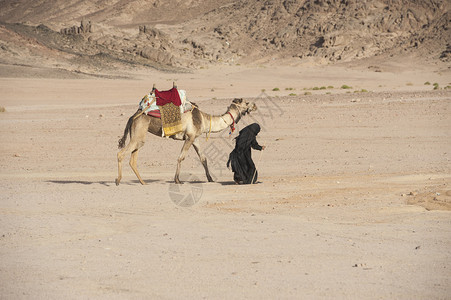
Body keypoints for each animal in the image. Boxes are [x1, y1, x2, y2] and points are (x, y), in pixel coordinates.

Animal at [115, 96, 258, 185]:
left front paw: (210, 179)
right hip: (139, 132)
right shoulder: (189, 136)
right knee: (121, 154)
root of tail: (134, 116)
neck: (204, 120)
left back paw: (143, 182)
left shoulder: (195, 138)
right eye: (246, 102)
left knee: (133, 159)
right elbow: (181, 157)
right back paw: (118, 180)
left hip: (138, 135)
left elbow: (203, 158)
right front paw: (178, 180)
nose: (255, 105)